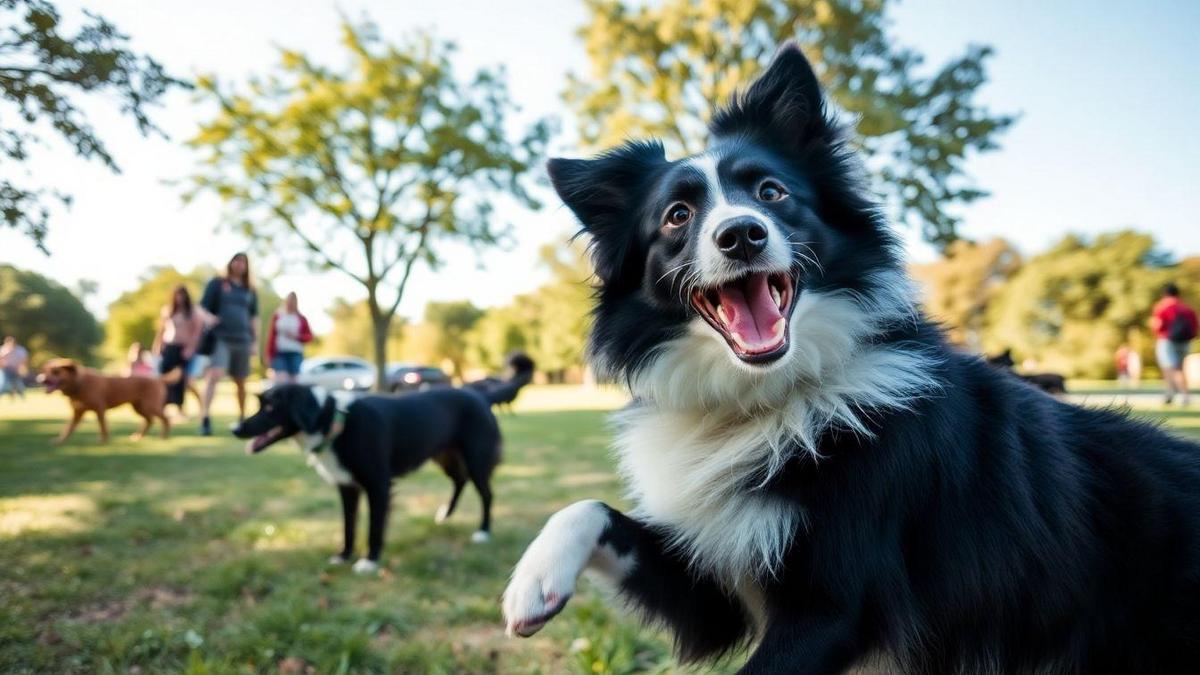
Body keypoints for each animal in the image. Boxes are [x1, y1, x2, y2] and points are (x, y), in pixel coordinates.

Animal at [39, 357, 180, 441]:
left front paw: (103, 440)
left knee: (165, 419)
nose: (41, 379)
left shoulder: (99, 409)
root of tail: (158, 379)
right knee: (149, 420)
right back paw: (138, 436)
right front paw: (60, 440)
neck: (80, 384)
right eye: (45, 370)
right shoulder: (77, 413)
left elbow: (102, 426)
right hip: (139, 407)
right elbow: (68, 428)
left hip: (150, 406)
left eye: (56, 371)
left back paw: (164, 436)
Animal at [234, 381, 501, 569]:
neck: (336, 423)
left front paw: (370, 561)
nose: (234, 429)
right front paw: (343, 556)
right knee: (459, 480)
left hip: (476, 460)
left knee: (486, 494)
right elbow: (349, 526)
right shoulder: (347, 488)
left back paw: (483, 531)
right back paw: (445, 513)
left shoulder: (378, 486)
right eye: (260, 405)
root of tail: (480, 396)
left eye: (270, 407)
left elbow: (374, 527)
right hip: (445, 457)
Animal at [501, 43, 1200, 672]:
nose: (741, 235)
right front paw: (532, 583)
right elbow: (590, 508)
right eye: (676, 216)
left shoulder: (838, 608)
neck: (770, 398)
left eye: (771, 192)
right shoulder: (718, 586)